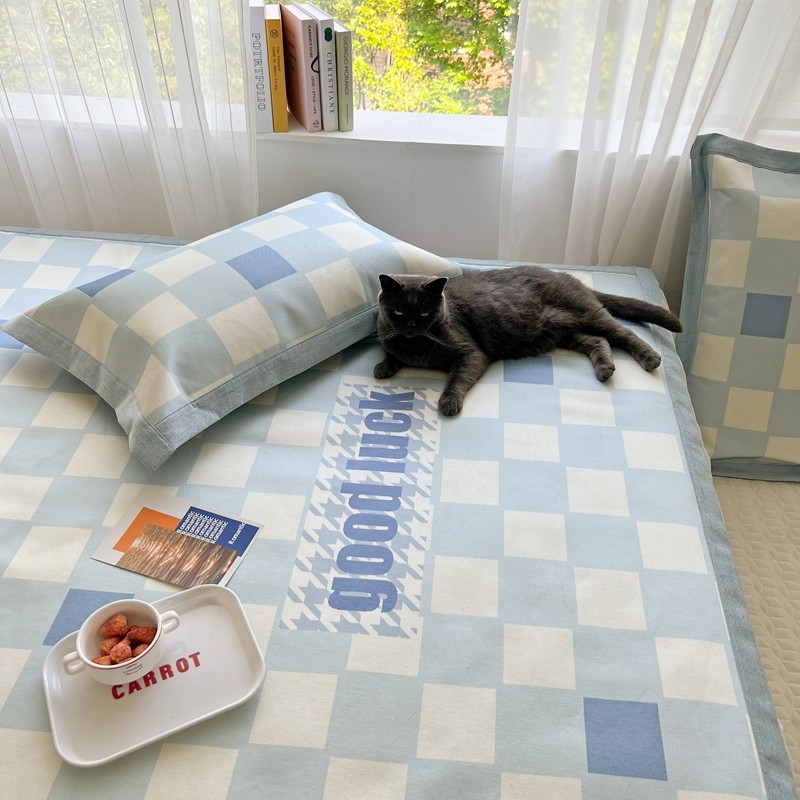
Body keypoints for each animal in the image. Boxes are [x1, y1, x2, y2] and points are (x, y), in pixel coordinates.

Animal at [373, 266, 683, 416]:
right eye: (398, 311)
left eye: (424, 313)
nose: (411, 326)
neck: (415, 347)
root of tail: (568, 276)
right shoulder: (390, 337)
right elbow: (391, 351)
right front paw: (383, 367)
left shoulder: (470, 353)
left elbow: (457, 378)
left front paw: (449, 402)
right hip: (566, 331)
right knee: (598, 341)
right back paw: (605, 370)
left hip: (588, 314)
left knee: (623, 333)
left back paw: (650, 358)